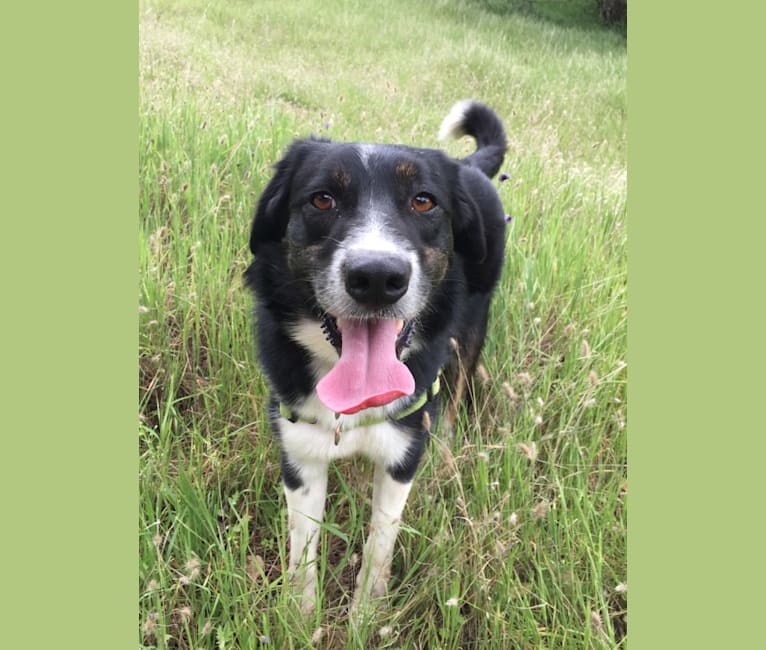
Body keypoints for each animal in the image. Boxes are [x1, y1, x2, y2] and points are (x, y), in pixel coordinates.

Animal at [248, 98, 510, 612]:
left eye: (423, 201)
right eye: (322, 199)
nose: (376, 277)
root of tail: (469, 167)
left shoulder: (401, 456)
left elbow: (379, 544)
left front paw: (366, 615)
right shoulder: (300, 455)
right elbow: (302, 549)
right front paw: (300, 616)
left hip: (472, 326)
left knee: (458, 386)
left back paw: (447, 445)